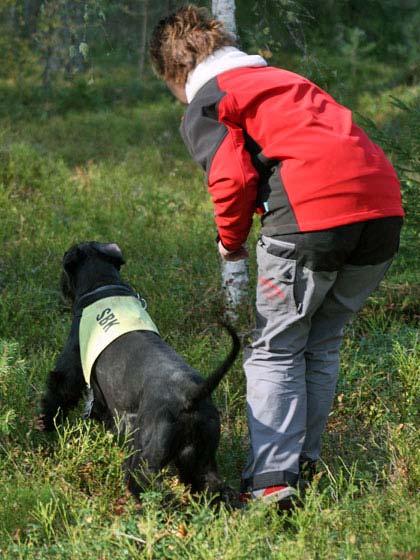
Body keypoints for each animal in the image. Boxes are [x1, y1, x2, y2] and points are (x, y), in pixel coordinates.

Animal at [41, 243, 241, 496]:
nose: (61, 288)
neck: (103, 286)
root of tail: (192, 395)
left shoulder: (73, 368)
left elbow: (59, 390)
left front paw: (46, 423)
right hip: (201, 456)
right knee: (211, 484)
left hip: (146, 455)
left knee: (145, 484)